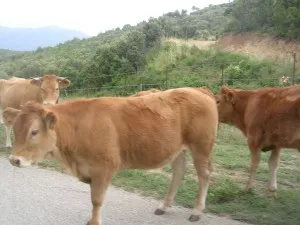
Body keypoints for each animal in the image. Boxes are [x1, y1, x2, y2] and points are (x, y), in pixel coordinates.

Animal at [3, 87, 219, 225]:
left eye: (34, 131)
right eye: (15, 129)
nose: (14, 160)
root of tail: (198, 90)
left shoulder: (103, 168)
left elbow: (96, 200)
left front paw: (93, 221)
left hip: (201, 147)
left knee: (204, 175)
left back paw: (197, 211)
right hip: (178, 150)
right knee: (178, 173)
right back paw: (164, 207)